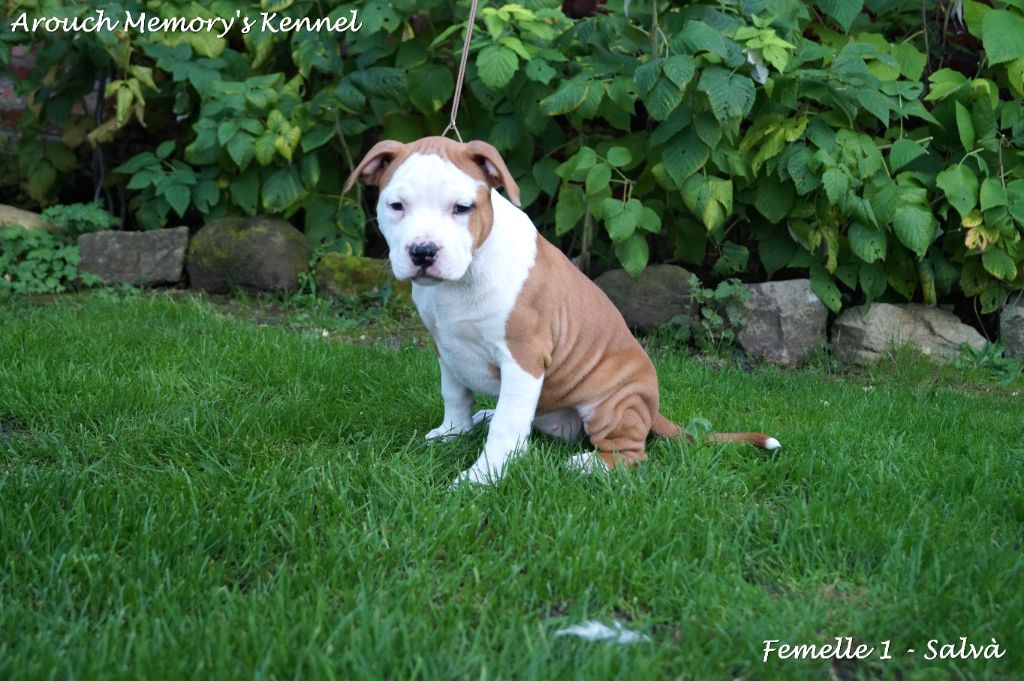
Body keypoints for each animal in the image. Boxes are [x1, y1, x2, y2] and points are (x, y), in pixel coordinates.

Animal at [344, 137, 779, 485]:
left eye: (462, 207)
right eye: (396, 206)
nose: (423, 252)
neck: (466, 275)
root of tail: (651, 409)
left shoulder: (523, 357)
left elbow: (507, 428)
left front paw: (480, 479)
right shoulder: (444, 346)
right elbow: (454, 393)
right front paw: (453, 431)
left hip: (612, 402)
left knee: (630, 455)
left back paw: (585, 465)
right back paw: (485, 418)